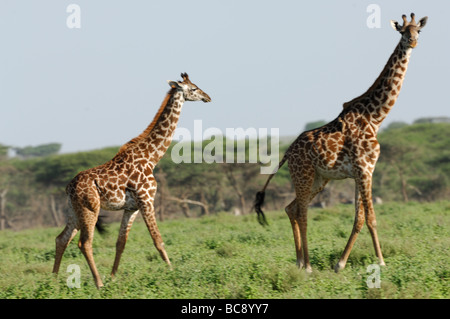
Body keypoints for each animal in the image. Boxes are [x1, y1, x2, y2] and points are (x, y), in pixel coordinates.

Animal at [53, 74, 212, 288]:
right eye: (193, 89)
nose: (207, 97)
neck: (151, 157)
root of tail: (68, 187)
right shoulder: (147, 200)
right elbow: (158, 239)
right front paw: (173, 272)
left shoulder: (131, 208)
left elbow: (121, 243)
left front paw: (113, 277)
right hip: (90, 208)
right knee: (84, 243)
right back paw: (98, 283)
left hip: (74, 211)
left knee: (62, 239)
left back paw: (52, 281)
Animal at [255, 13, 428, 274]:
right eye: (402, 31)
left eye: (419, 30)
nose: (413, 42)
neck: (375, 117)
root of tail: (286, 153)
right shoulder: (364, 169)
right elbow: (372, 218)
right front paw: (381, 261)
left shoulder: (362, 172)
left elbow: (359, 219)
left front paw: (340, 263)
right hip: (304, 174)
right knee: (302, 212)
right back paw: (308, 266)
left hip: (320, 179)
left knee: (291, 208)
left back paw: (299, 262)